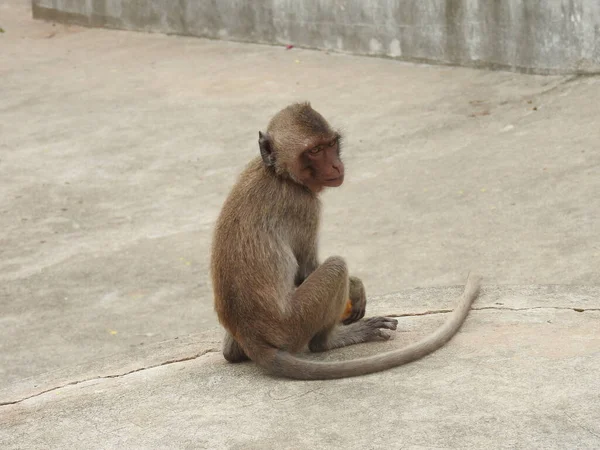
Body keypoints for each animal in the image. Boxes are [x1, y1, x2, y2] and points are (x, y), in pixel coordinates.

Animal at [211, 103, 482, 380]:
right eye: (315, 151)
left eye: (331, 144)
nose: (335, 166)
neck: (279, 174)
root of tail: (251, 336)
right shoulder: (304, 205)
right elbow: (306, 270)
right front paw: (355, 286)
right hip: (293, 325)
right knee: (336, 266)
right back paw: (330, 340)